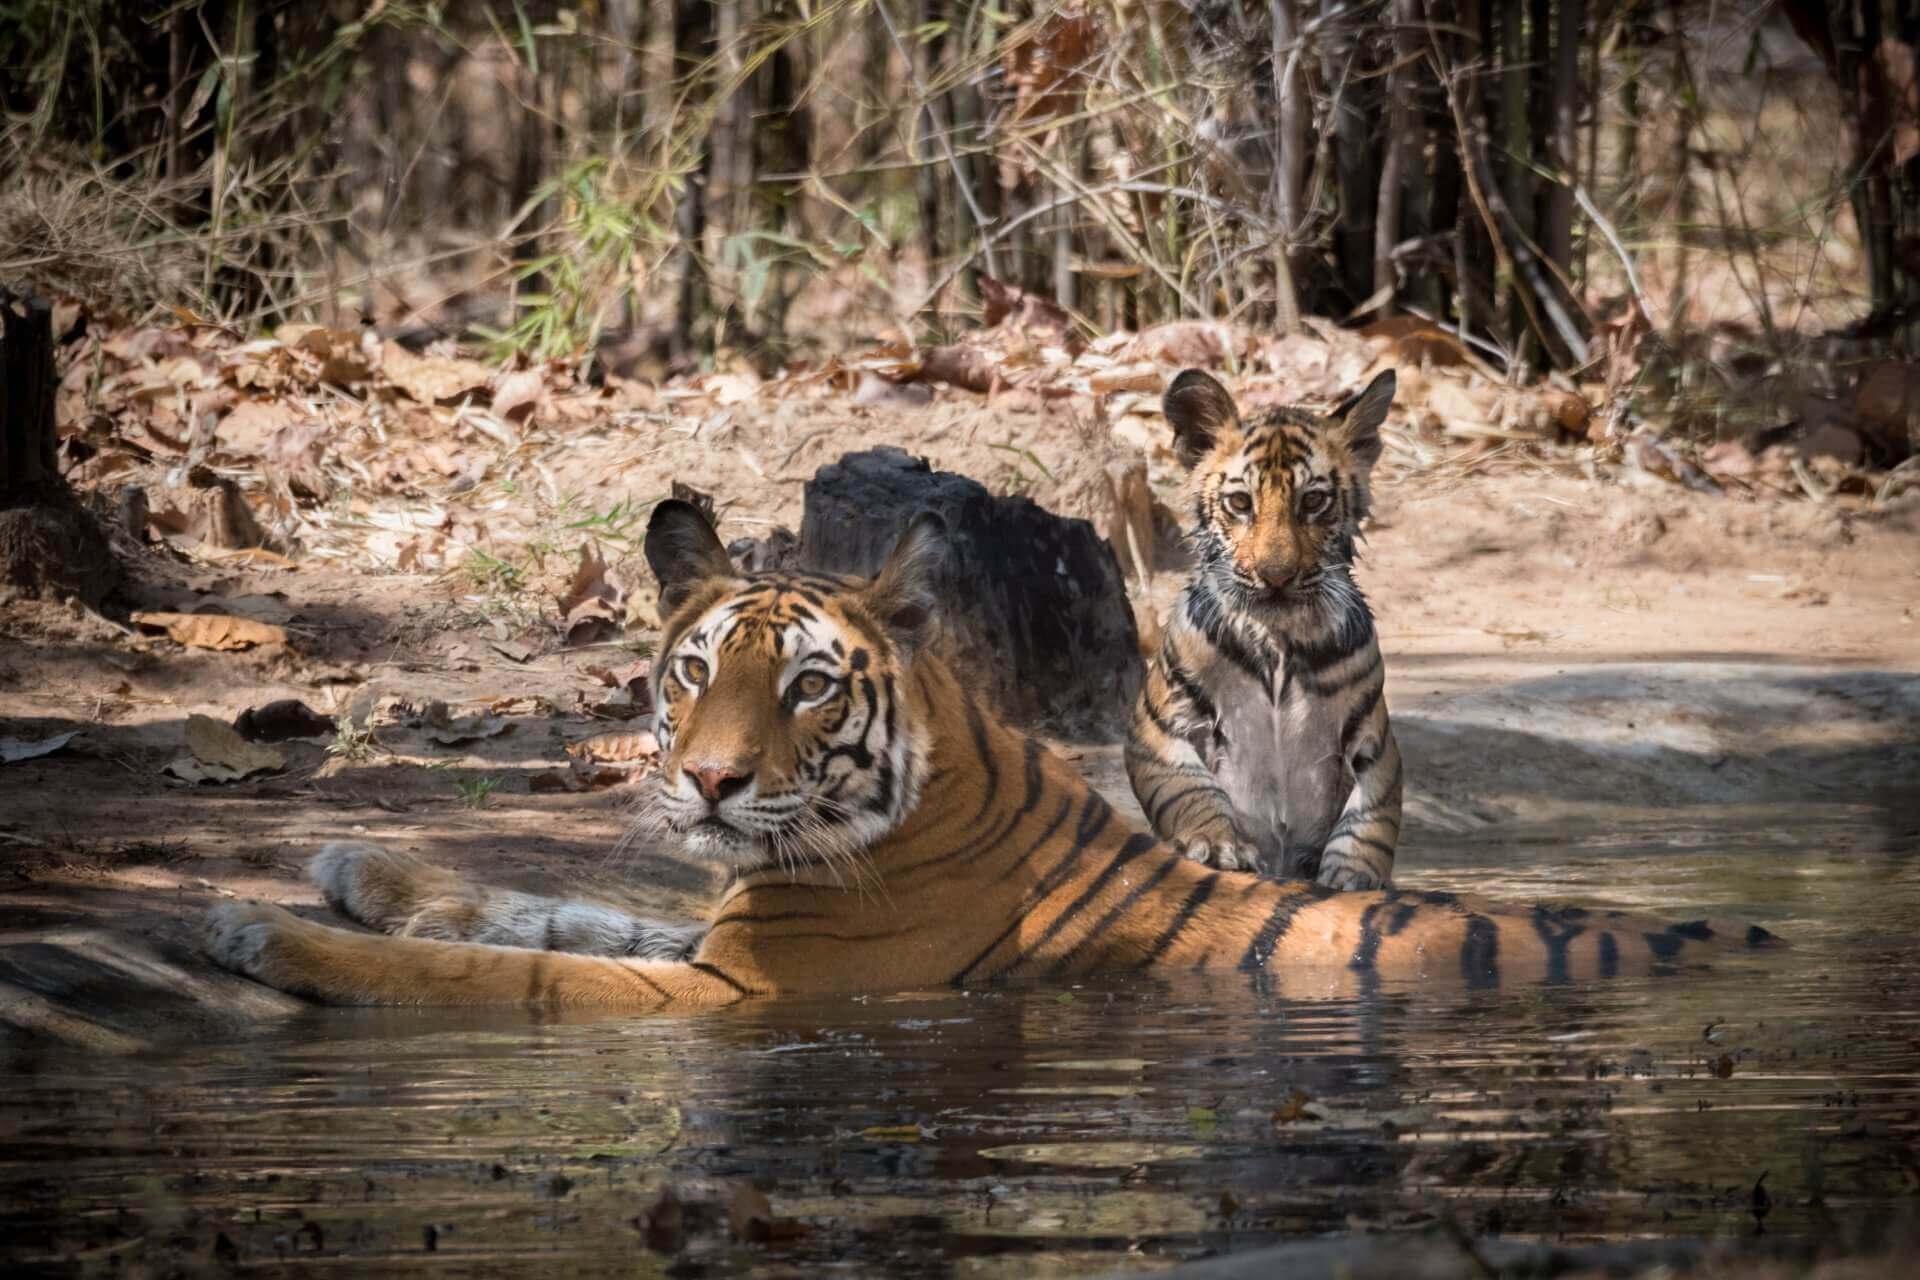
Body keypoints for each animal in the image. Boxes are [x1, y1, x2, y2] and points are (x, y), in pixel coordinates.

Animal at [202, 495, 1774, 1005]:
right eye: (695, 676)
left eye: (808, 691)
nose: (708, 782)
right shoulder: (724, 924)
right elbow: (550, 906)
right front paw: (358, 869)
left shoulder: (737, 989)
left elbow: (515, 971)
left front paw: (270, 936)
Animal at [1128, 370, 1405, 890]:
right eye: (1240, 503)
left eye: (1313, 501)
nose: (1276, 575)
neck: (1278, 640)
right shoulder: (1158, 723)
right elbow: (1187, 790)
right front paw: (1218, 844)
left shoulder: (1375, 744)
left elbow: (1369, 822)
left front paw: (1351, 879)